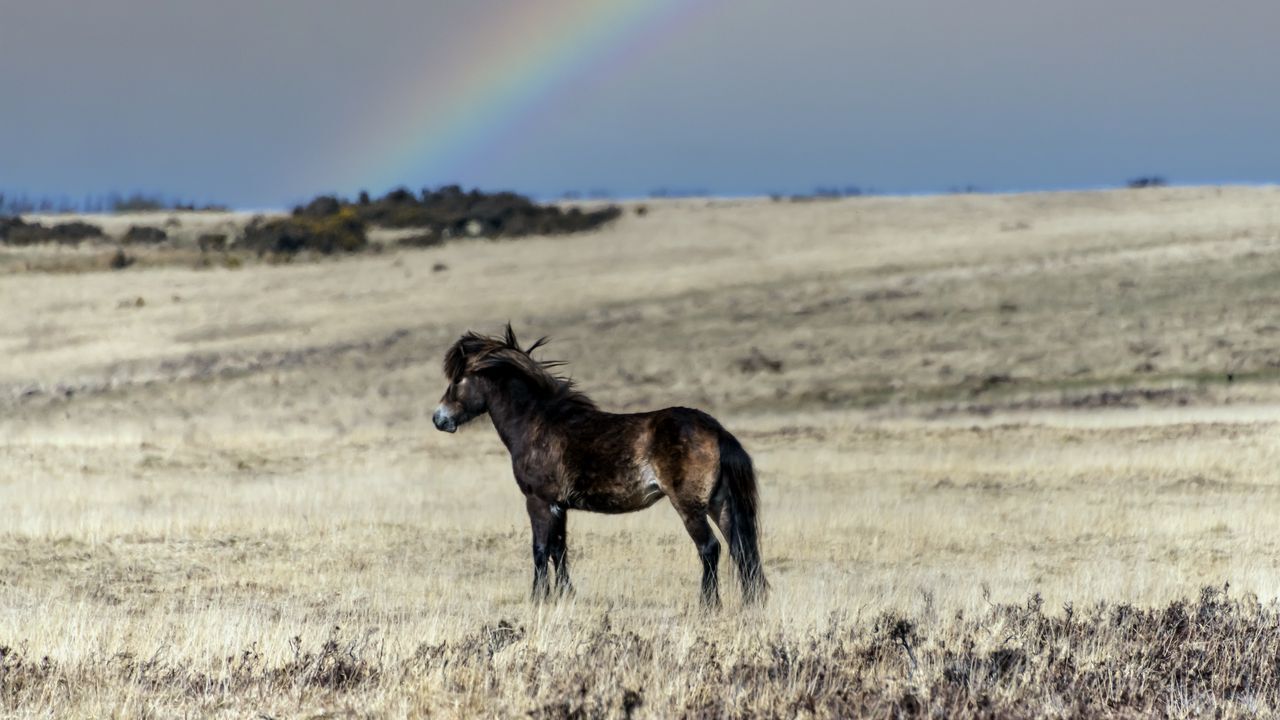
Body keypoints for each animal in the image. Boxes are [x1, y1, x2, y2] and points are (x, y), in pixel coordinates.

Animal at [430, 325, 768, 604]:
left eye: (458, 379)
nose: (439, 418)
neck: (538, 423)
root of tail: (716, 430)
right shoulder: (559, 505)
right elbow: (559, 549)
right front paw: (565, 595)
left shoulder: (537, 500)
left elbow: (540, 550)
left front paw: (538, 598)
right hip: (720, 503)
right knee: (741, 550)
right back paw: (751, 602)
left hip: (690, 506)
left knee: (710, 548)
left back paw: (708, 605)